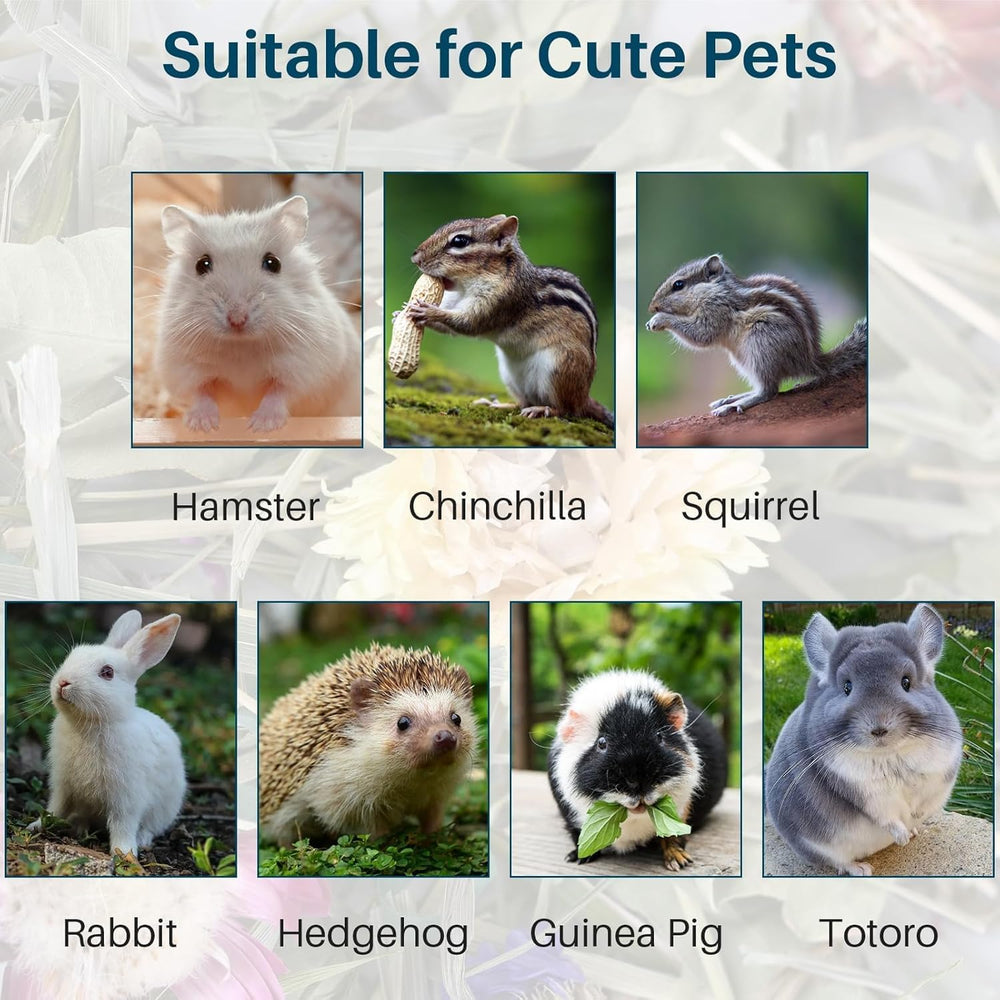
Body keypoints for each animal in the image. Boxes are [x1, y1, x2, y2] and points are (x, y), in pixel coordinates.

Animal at [156, 194, 360, 433]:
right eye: (201, 264)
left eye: (273, 263)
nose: (237, 319)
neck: (241, 347)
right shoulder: (185, 367)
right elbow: (202, 392)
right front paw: (201, 425)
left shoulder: (304, 366)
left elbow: (280, 392)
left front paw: (261, 426)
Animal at [547, 670, 727, 870]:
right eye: (601, 742)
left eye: (659, 736)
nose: (639, 782)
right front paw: (577, 858)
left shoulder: (681, 811)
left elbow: (672, 835)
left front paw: (679, 862)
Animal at [765, 603, 963, 876]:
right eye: (847, 687)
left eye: (906, 682)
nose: (879, 729)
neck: (889, 754)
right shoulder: (864, 791)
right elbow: (887, 816)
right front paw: (901, 837)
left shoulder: (940, 773)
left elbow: (926, 803)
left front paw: (915, 819)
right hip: (818, 846)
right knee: (839, 862)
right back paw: (862, 867)